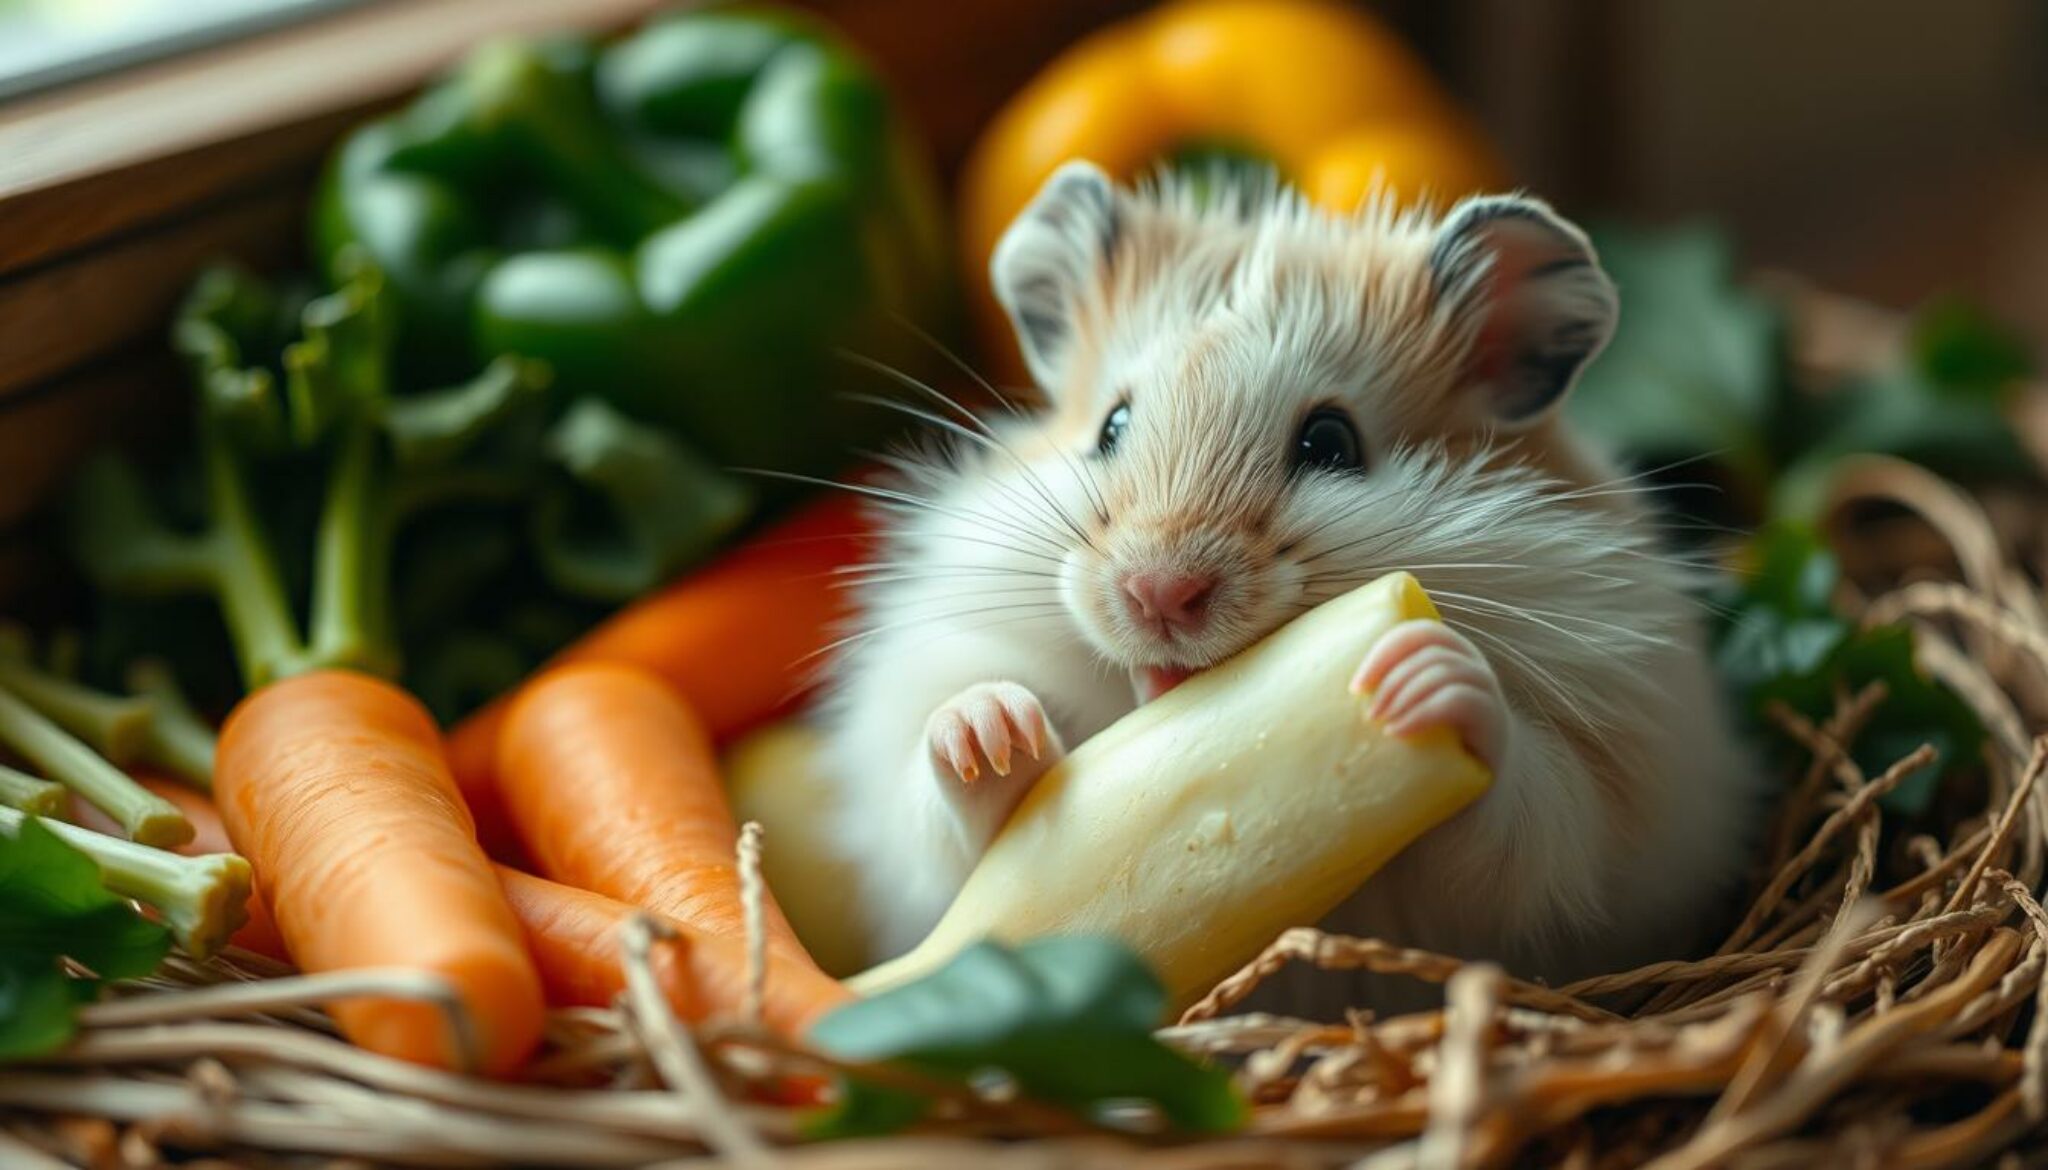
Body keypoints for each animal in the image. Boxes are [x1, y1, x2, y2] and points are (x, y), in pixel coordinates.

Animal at [818, 161, 1757, 1010]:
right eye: (1110, 428)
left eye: (1331, 443)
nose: (1158, 594)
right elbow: (950, 823)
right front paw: (989, 728)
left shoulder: (1588, 826)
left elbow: (1521, 820)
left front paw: (1431, 674)